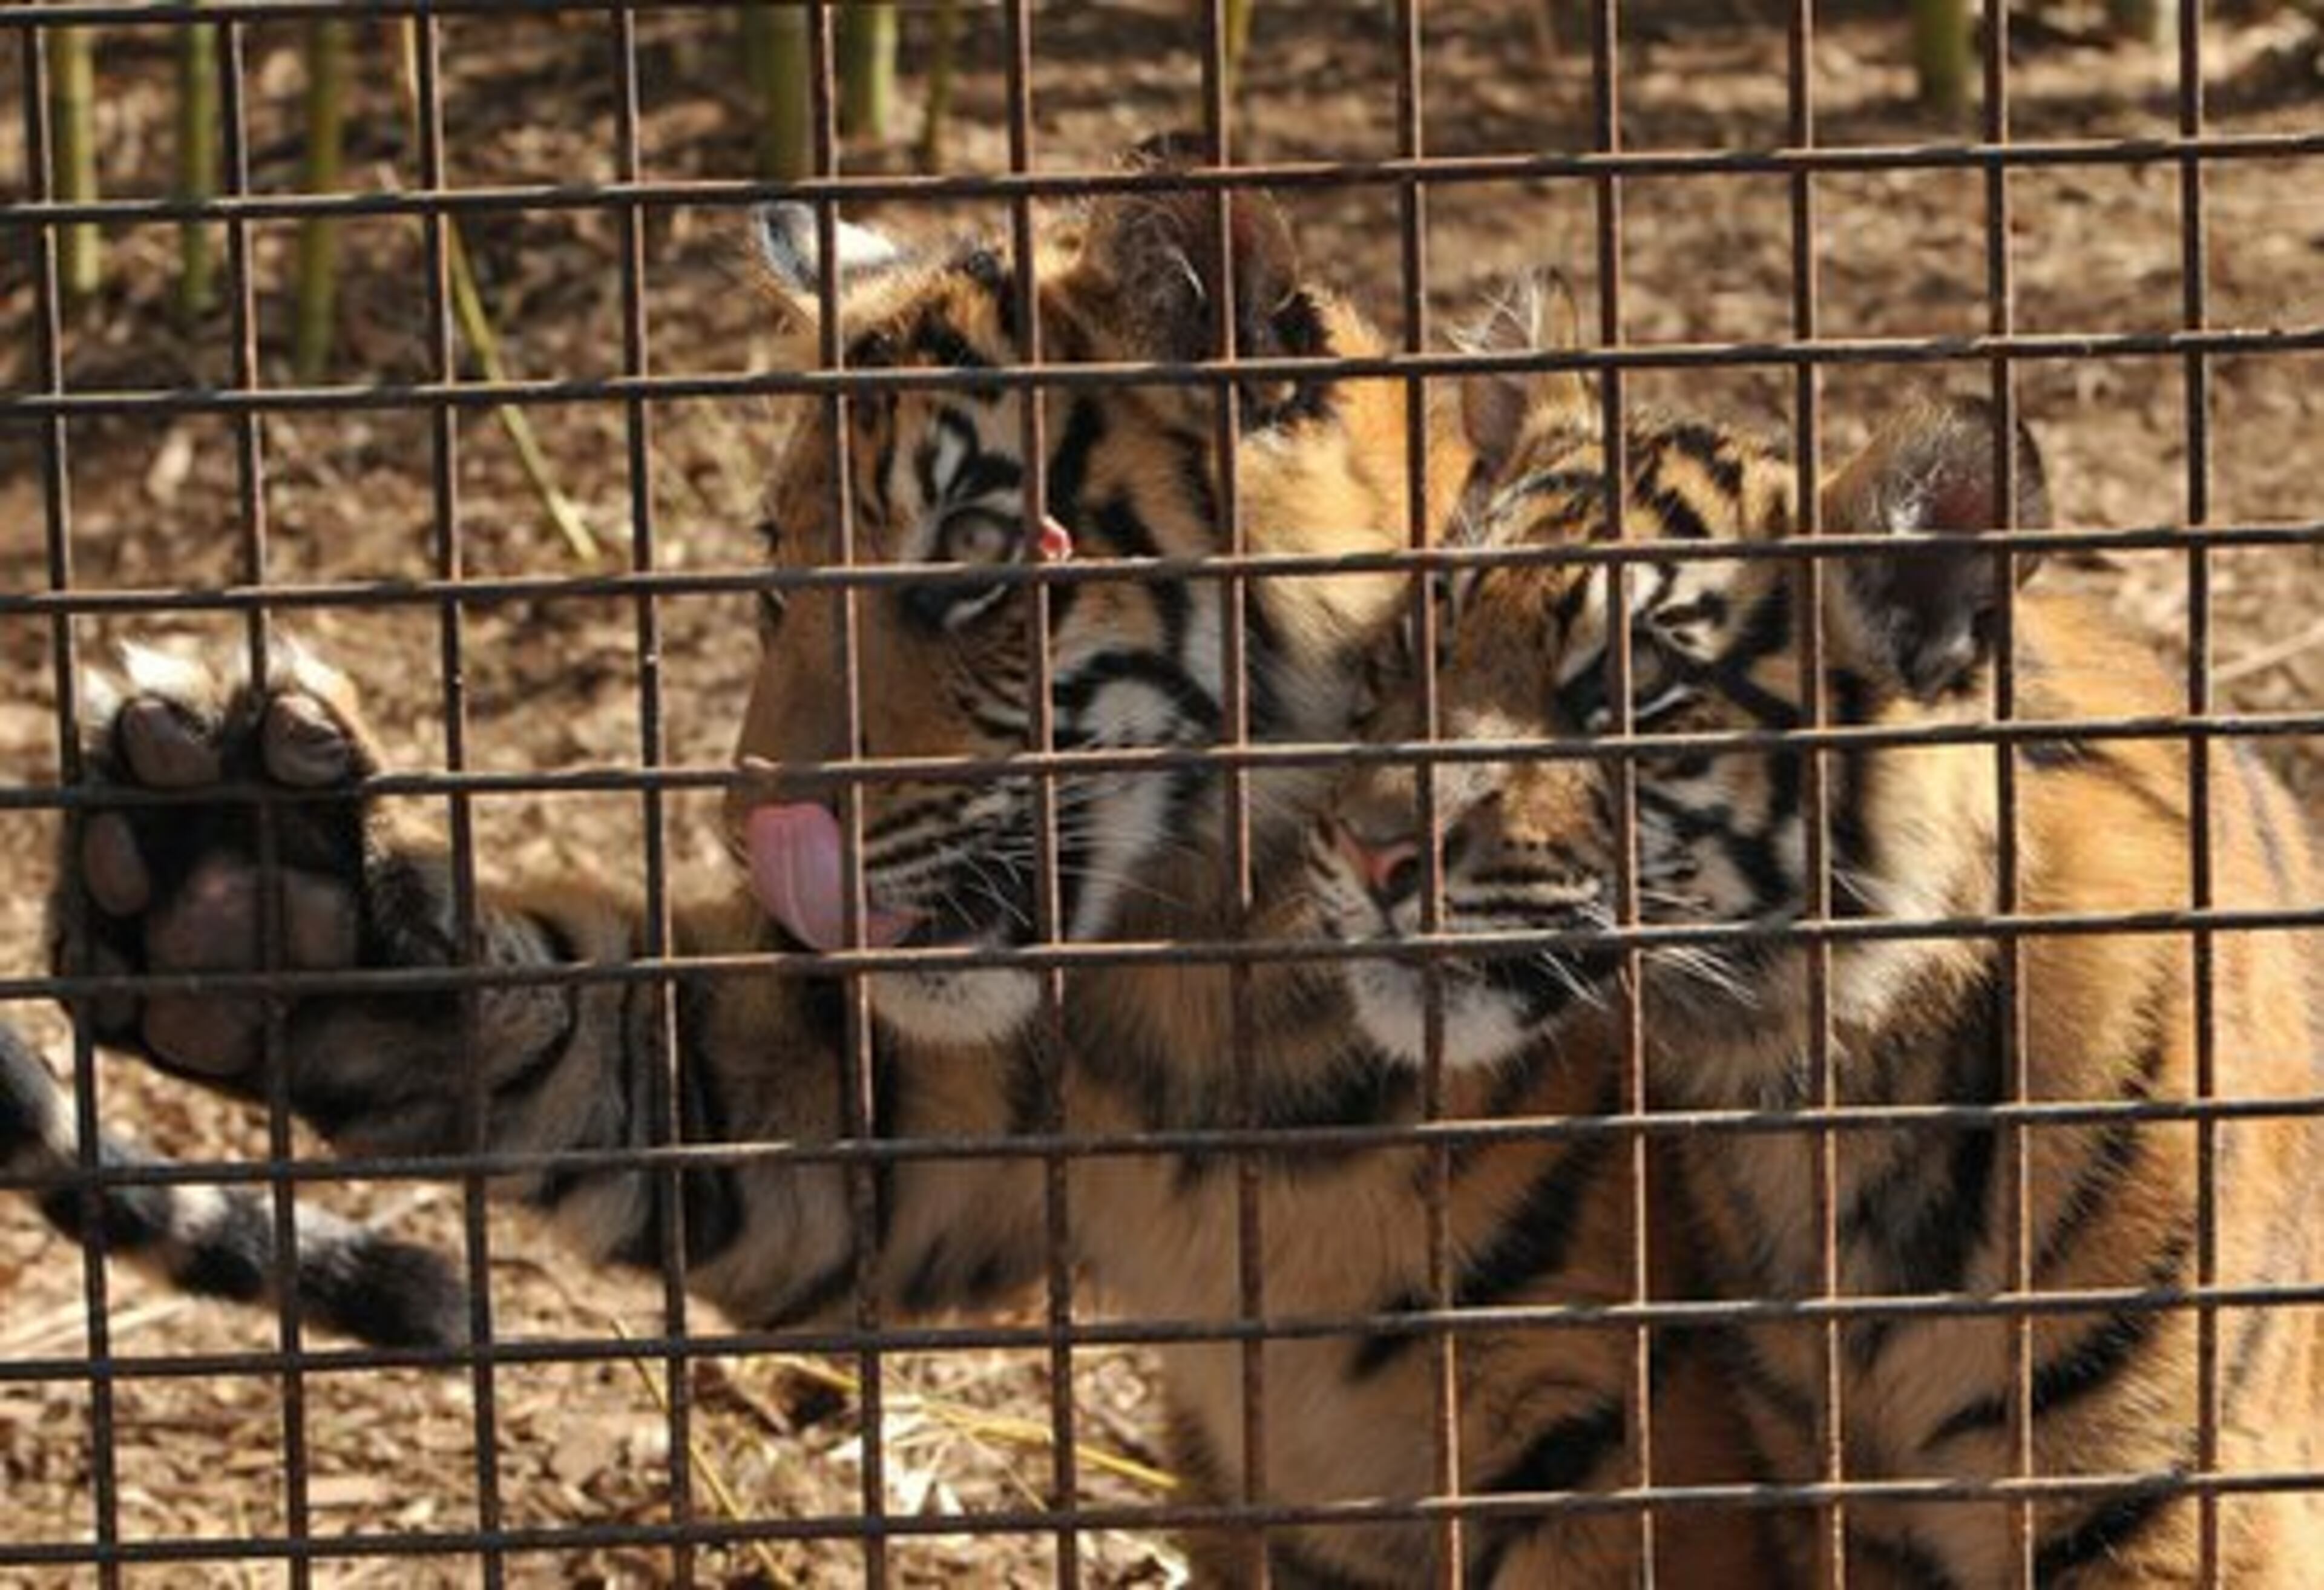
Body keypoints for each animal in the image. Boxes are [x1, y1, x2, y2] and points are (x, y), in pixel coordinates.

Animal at [43, 167, 1766, 1583]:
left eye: (965, 563)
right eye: (776, 569)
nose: (750, 831)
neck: (1205, 991)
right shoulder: (909, 1118)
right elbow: (626, 1064)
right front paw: (238, 889)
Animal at [1307, 270, 2324, 1585]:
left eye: (1626, 691)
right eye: (1422, 643)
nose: (1368, 848)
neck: (1839, 1106)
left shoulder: (2165, 1500)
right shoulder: (1838, 1497)